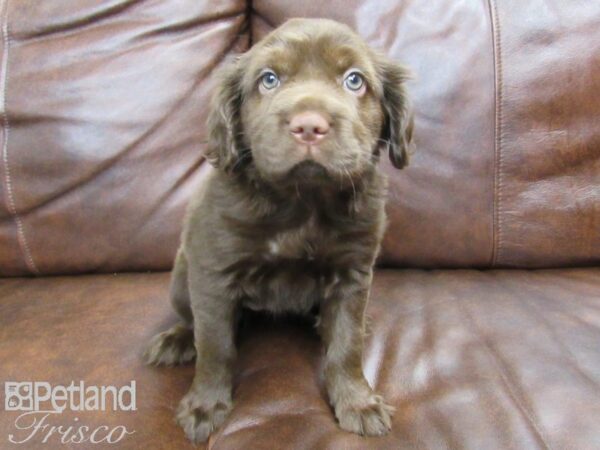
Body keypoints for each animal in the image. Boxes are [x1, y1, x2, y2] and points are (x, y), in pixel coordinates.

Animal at [145, 17, 412, 442]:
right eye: (268, 79)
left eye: (355, 80)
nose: (309, 126)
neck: (302, 201)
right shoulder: (213, 273)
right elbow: (215, 344)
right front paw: (205, 406)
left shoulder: (352, 275)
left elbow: (346, 345)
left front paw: (357, 402)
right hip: (181, 277)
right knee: (194, 320)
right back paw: (178, 339)